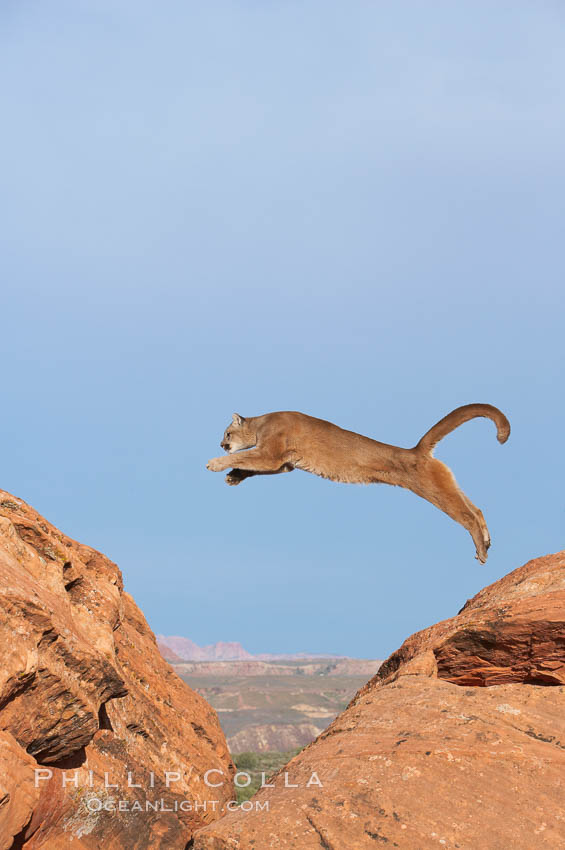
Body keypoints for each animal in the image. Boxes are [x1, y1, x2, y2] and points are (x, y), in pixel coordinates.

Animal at [208, 404, 512, 564]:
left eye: (227, 433)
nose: (222, 444)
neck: (261, 424)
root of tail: (416, 451)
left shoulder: (271, 454)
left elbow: (245, 456)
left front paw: (215, 464)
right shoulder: (283, 464)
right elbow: (249, 464)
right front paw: (233, 476)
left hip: (434, 490)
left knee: (467, 516)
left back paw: (481, 551)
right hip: (446, 484)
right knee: (477, 509)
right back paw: (488, 541)